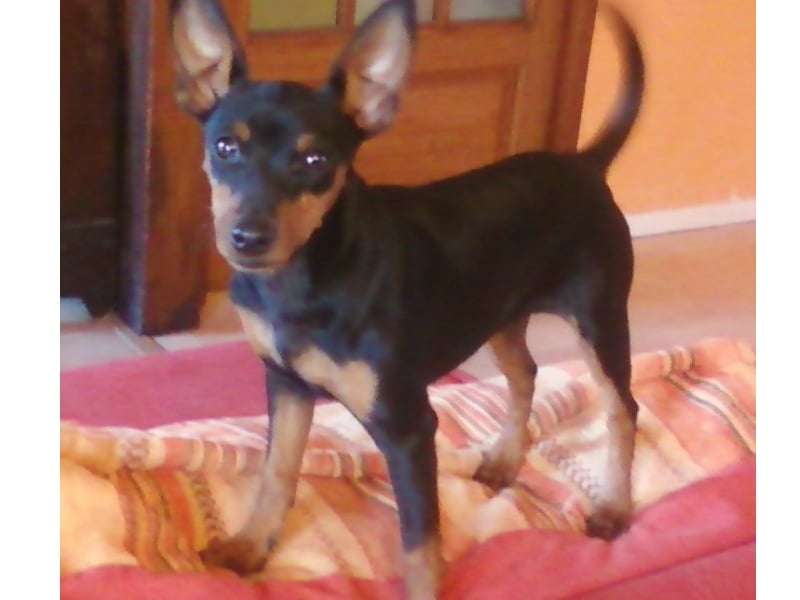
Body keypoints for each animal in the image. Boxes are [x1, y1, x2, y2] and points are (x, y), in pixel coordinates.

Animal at [169, 1, 644, 597]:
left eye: (315, 159)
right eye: (225, 147)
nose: (247, 238)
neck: (301, 280)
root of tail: (584, 164)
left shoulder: (408, 425)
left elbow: (419, 540)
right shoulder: (287, 383)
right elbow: (277, 471)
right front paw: (251, 546)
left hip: (598, 316)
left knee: (621, 408)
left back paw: (614, 508)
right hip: (501, 312)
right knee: (526, 373)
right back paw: (505, 461)